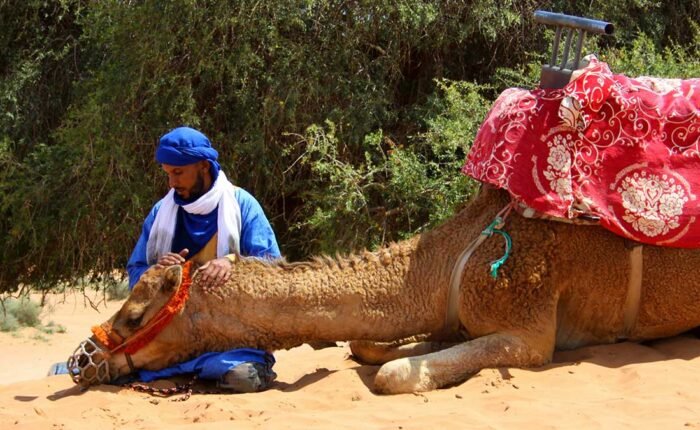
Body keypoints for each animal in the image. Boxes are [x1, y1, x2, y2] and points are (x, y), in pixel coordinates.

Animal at [71, 185, 700, 394]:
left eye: (133, 316)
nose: (82, 360)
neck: (446, 265)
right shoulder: (452, 316)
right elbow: (368, 347)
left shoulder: (530, 328)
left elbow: (393, 374)